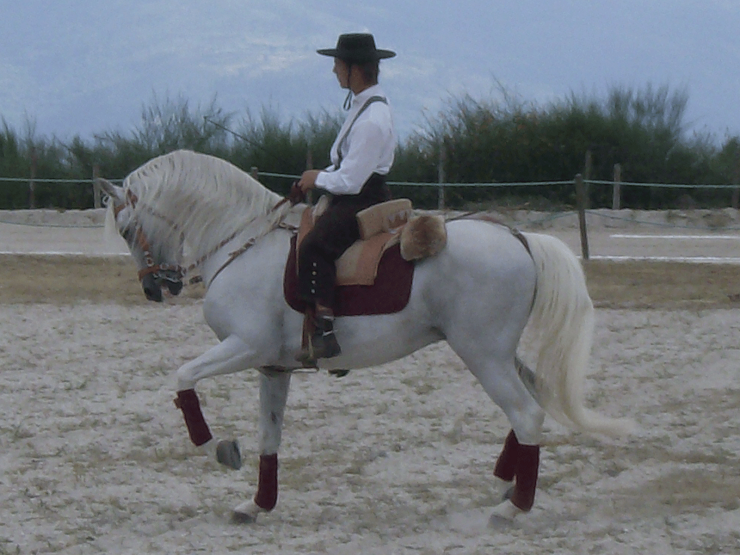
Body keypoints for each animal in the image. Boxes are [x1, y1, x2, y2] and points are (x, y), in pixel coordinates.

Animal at [97, 148, 632, 524]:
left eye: (124, 229)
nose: (154, 288)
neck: (243, 244)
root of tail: (517, 236)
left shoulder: (244, 347)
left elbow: (184, 378)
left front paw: (221, 450)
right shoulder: (272, 366)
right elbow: (270, 436)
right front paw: (258, 504)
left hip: (483, 355)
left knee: (526, 412)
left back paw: (513, 507)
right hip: (498, 353)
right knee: (535, 397)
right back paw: (506, 481)